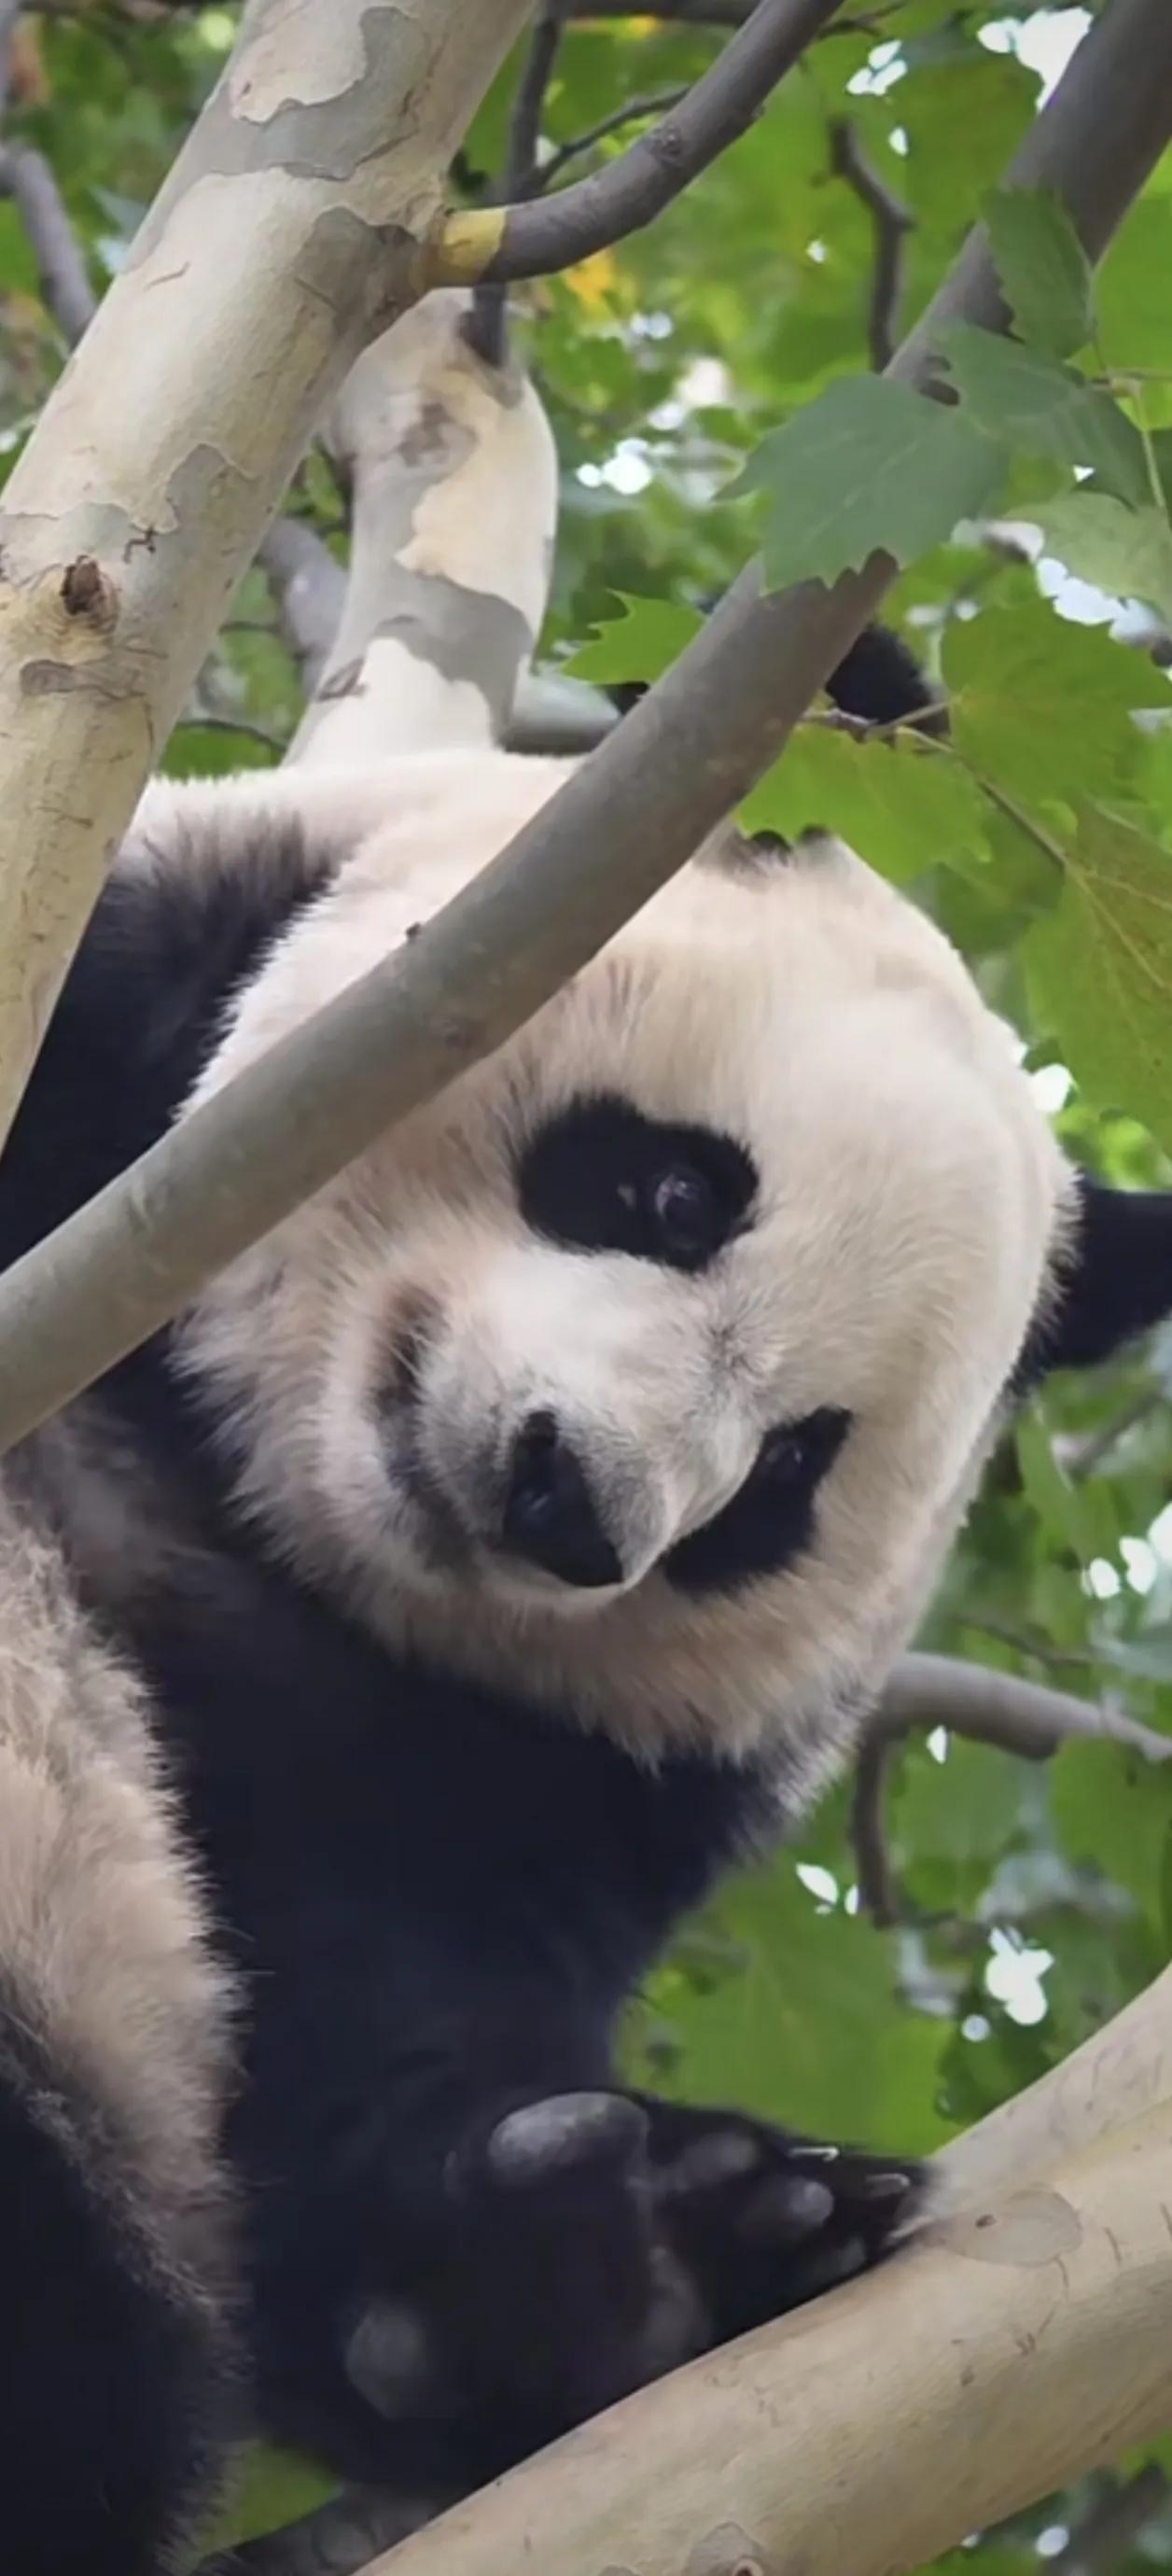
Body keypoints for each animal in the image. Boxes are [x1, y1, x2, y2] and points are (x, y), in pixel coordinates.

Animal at [2, 628, 1172, 2576]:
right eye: (676, 1188)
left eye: (784, 1477)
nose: (572, 1503)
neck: (237, 1479)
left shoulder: (497, 1772)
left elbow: (362, 2055)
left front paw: (640, 2249)